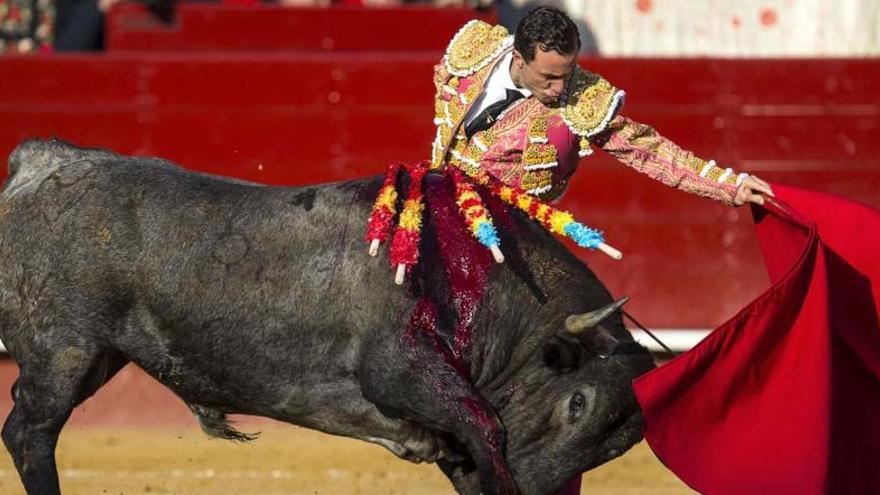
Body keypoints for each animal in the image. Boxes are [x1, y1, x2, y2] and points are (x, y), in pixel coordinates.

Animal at [0, 140, 652, 495]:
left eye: (606, 451)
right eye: (577, 404)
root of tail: (42, 162)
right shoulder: (401, 374)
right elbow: (486, 430)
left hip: (100, 355)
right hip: (64, 349)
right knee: (29, 433)